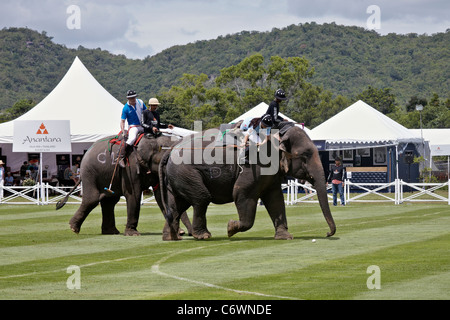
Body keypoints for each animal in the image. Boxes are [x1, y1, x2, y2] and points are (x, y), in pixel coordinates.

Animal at [56, 131, 192, 236]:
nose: (186, 233)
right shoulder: (129, 167)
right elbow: (134, 194)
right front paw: (133, 234)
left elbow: (160, 196)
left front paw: (177, 232)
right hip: (90, 172)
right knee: (93, 199)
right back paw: (73, 228)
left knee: (109, 201)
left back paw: (111, 232)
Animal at [160, 124, 336, 241]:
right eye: (306, 155)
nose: (327, 234)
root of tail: (171, 149)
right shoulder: (254, 166)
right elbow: (241, 193)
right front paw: (230, 228)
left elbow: (275, 199)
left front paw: (285, 237)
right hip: (187, 172)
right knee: (201, 199)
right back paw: (203, 236)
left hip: (178, 177)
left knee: (177, 205)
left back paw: (171, 237)